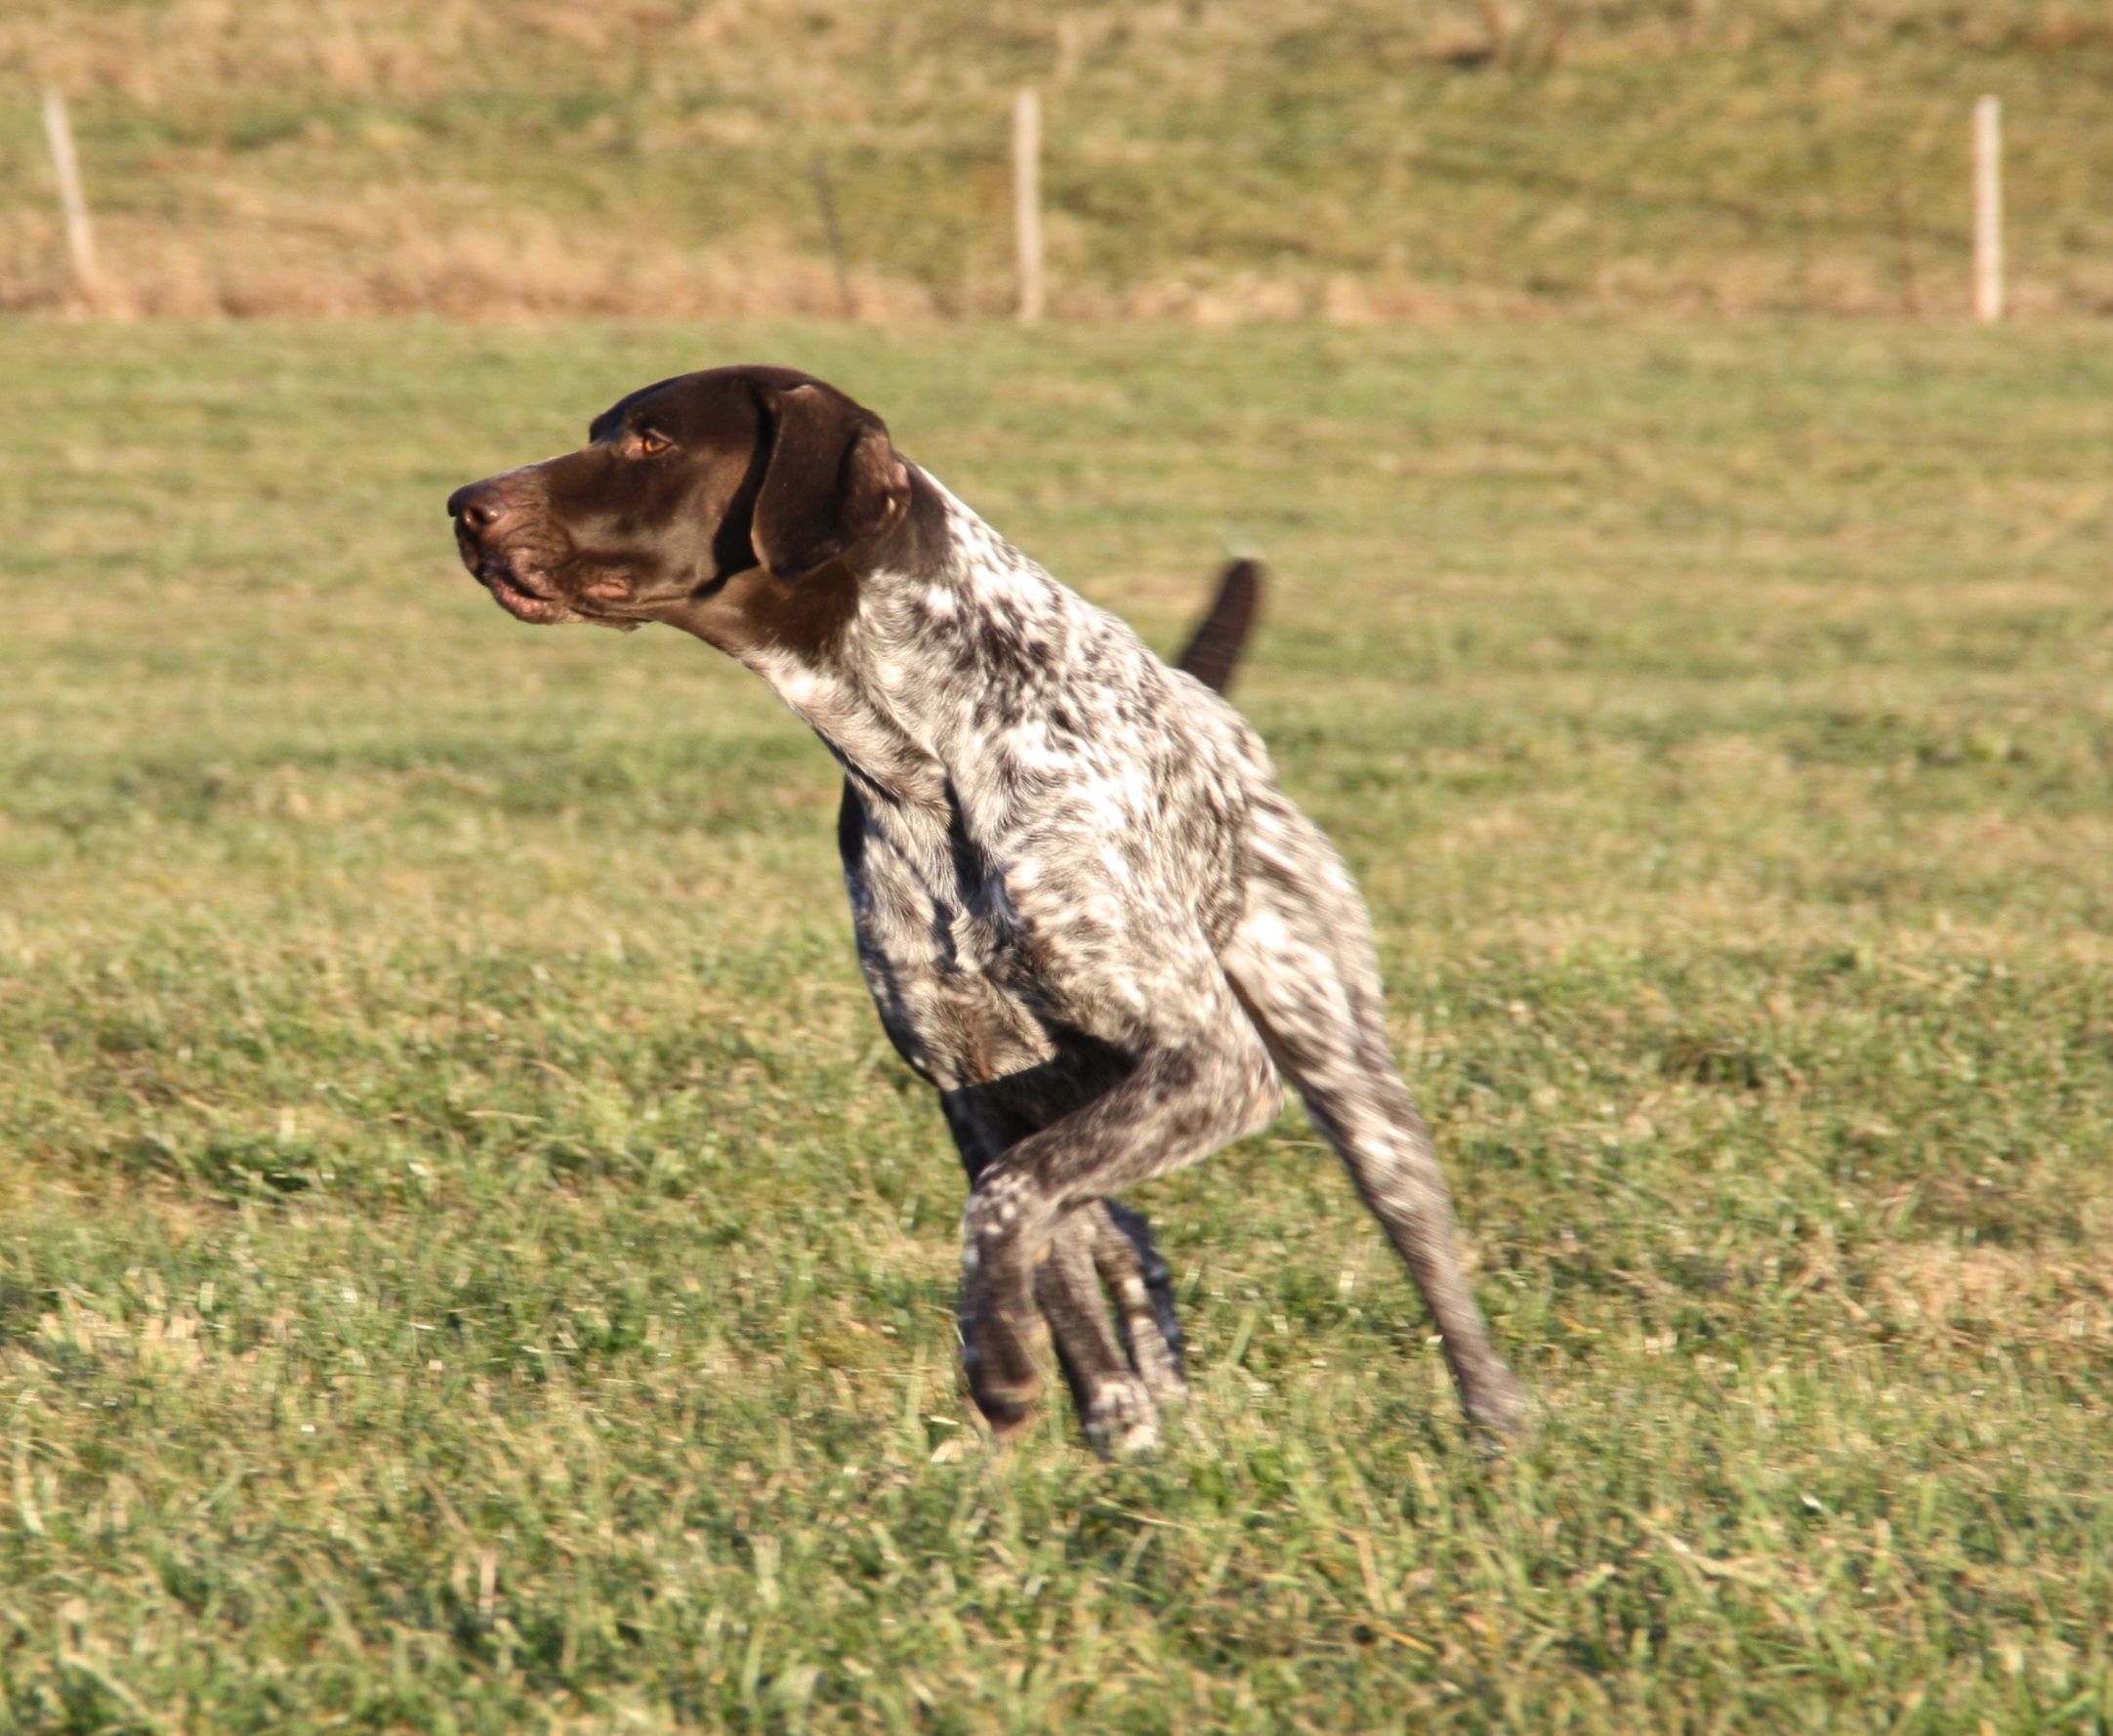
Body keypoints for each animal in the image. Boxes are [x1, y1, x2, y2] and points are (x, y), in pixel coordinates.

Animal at [449, 367, 1538, 1453]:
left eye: (653, 441)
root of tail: (1222, 717)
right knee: (1118, 1232)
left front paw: (1007, 1364)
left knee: (1415, 1244)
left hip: (1340, 1072)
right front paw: (1083, 1403)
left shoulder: (1210, 1063)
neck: (924, 757)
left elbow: (1010, 1205)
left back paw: (1495, 1425)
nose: (465, 504)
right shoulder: (975, 1082)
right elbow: (1039, 1246)